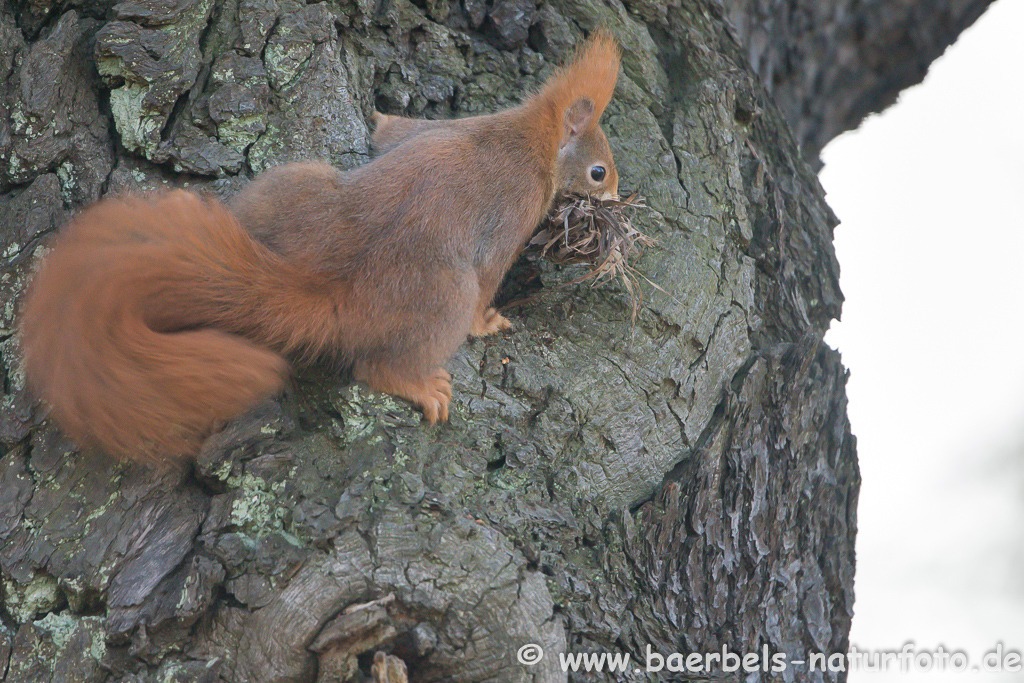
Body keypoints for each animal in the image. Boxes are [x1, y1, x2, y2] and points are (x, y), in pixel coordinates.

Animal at [19, 30, 618, 464]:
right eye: (599, 171)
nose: (616, 198)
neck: (530, 135)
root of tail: (333, 293)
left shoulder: (429, 130)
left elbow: (395, 131)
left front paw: (377, 112)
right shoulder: (513, 213)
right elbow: (490, 281)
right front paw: (489, 322)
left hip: (294, 186)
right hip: (440, 297)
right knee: (382, 367)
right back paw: (421, 386)